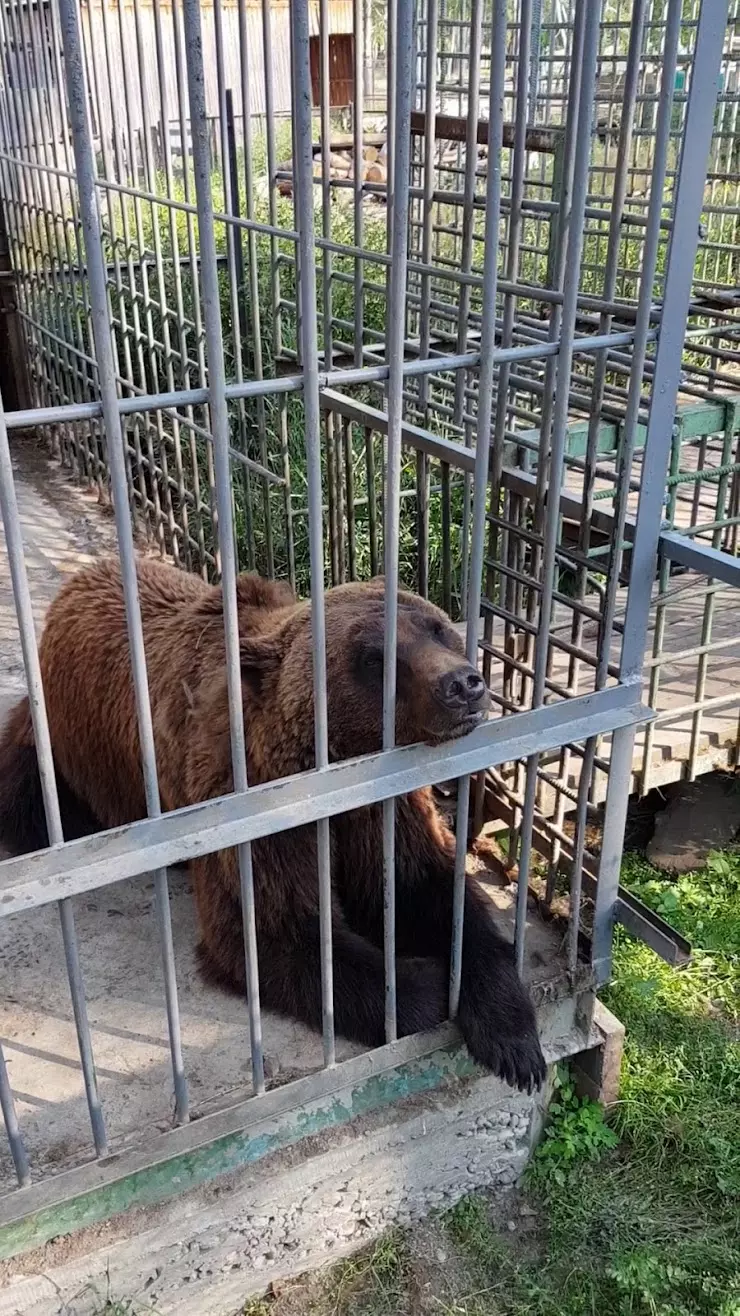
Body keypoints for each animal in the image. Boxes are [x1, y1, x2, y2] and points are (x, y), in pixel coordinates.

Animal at [0, 560, 542, 1094]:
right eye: (374, 658)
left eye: (436, 628)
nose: (463, 685)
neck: (342, 763)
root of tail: (78, 582)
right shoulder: (258, 809)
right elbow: (276, 928)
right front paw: (423, 983)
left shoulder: (387, 807)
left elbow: (428, 889)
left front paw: (514, 1042)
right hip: (63, 742)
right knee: (33, 803)